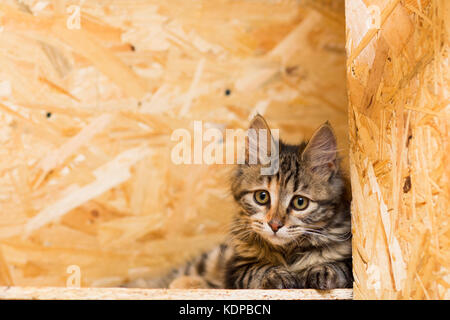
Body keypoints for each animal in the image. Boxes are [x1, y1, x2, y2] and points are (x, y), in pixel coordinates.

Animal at [123, 115, 352, 290]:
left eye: (300, 202)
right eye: (262, 197)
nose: (275, 225)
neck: (287, 253)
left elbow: (340, 267)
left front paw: (323, 270)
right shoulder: (237, 268)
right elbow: (257, 270)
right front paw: (277, 275)